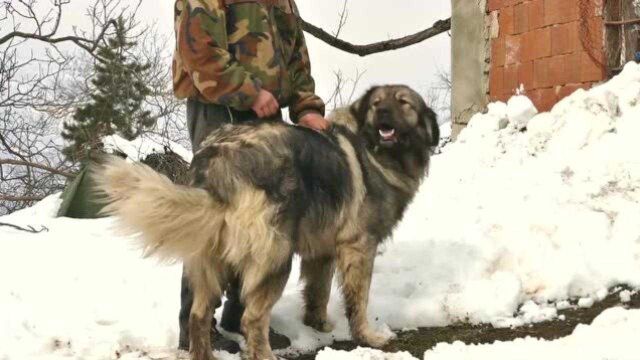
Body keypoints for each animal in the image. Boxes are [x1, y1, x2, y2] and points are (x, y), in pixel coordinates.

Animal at [97, 85, 440, 360]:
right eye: (376, 103)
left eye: (403, 103)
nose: (382, 111)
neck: (375, 149)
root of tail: (218, 159)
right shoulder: (359, 247)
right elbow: (358, 299)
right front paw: (367, 336)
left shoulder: (323, 250)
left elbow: (318, 290)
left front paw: (318, 324)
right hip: (276, 256)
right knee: (251, 319)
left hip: (211, 257)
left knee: (198, 314)